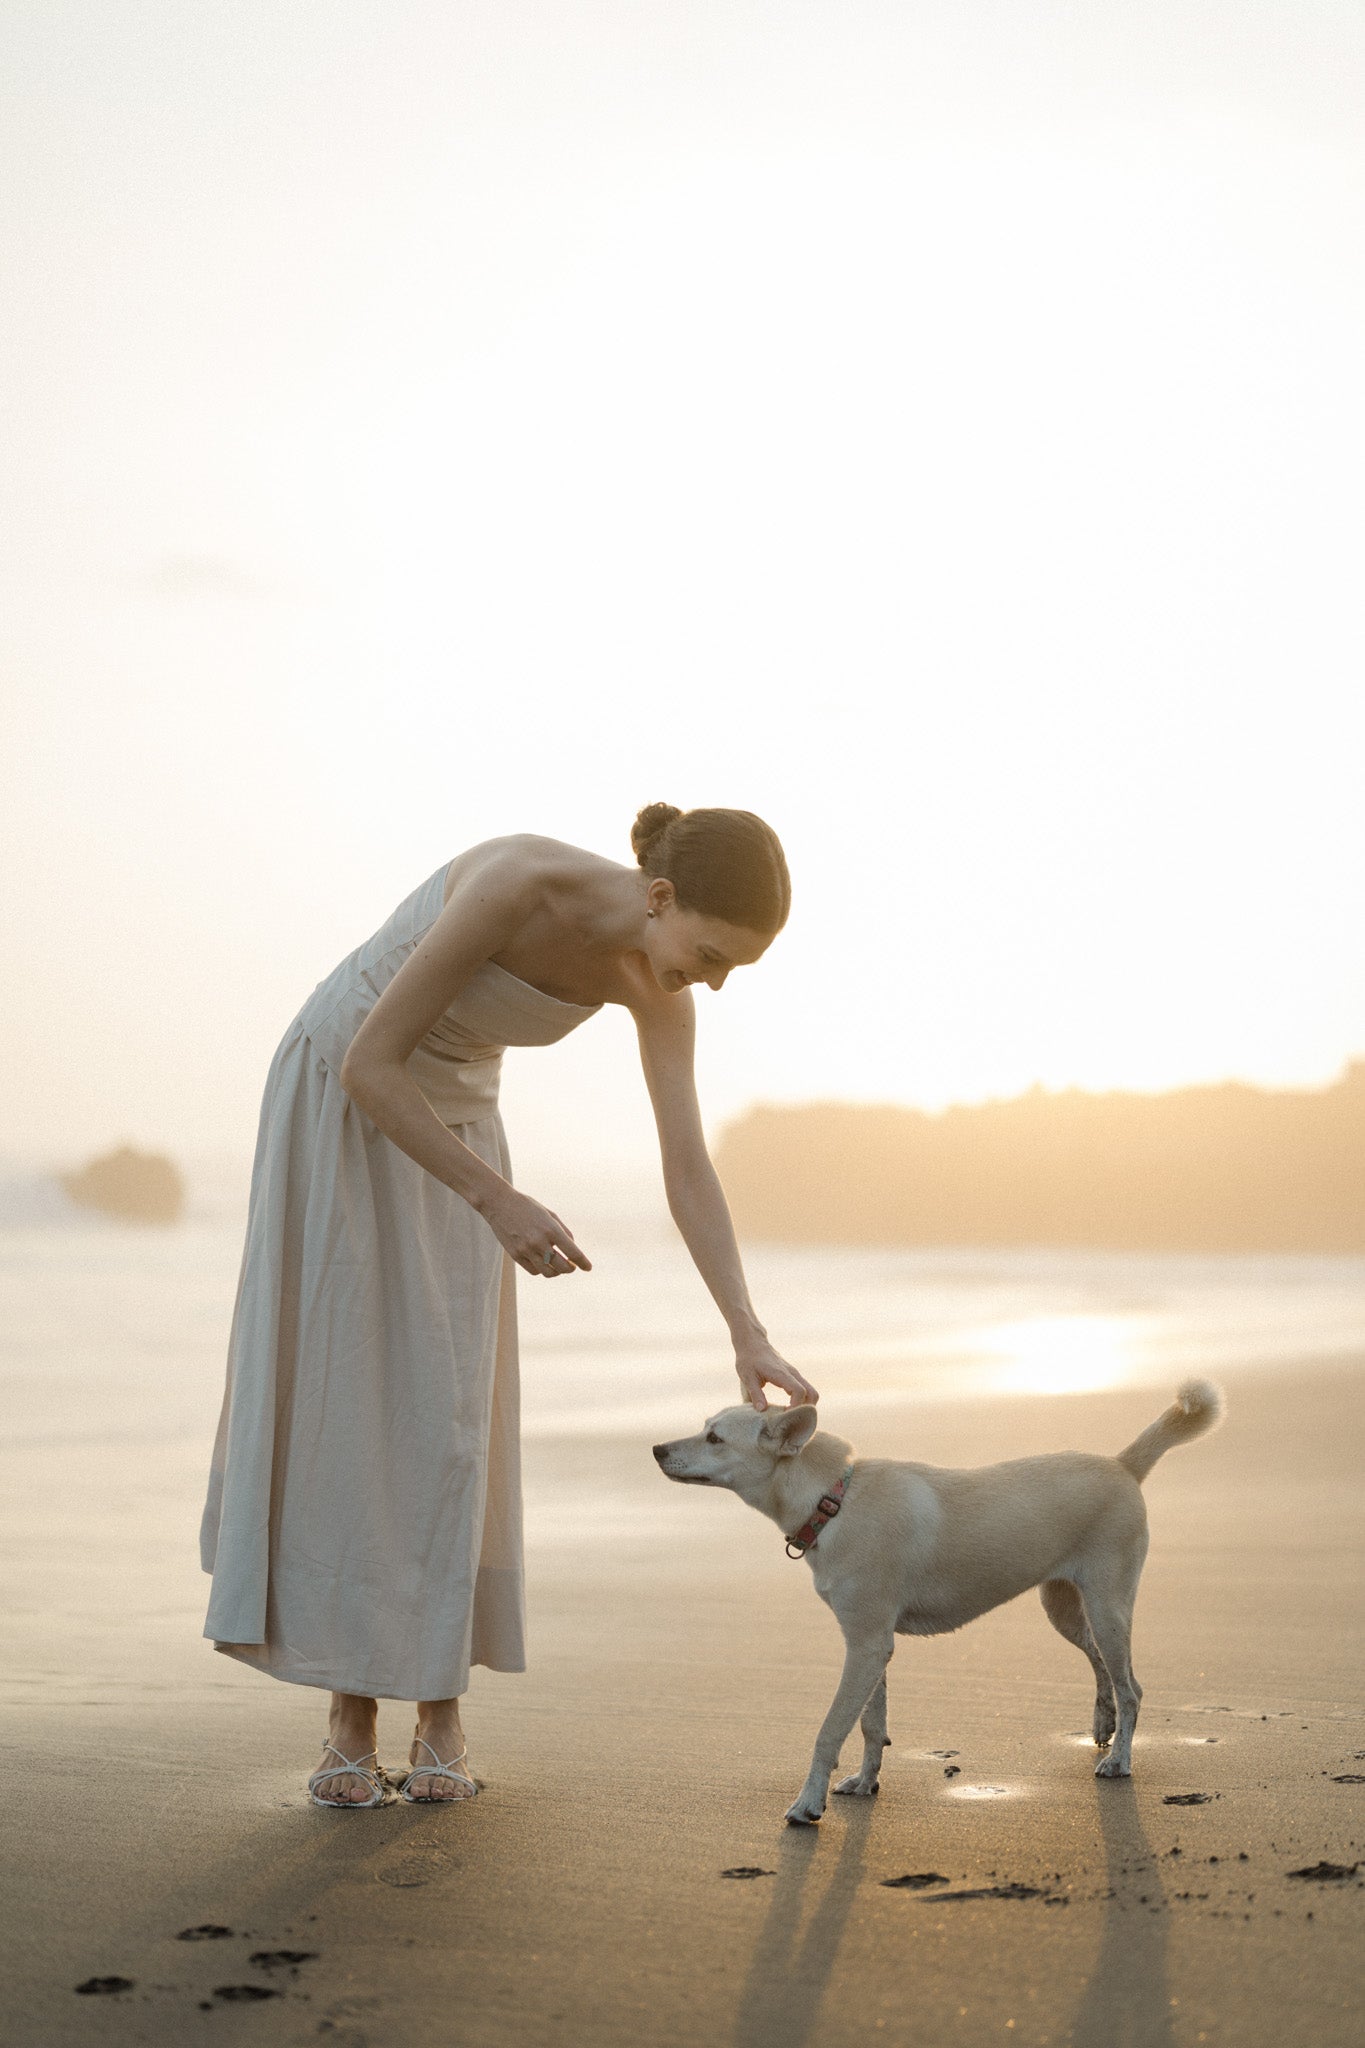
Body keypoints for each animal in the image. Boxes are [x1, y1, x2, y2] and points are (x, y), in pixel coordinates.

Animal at [654, 1384, 1227, 1835]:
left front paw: (806, 1806)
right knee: (1101, 1664)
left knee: (1132, 1687)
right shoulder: (870, 1645)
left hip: (1108, 1605)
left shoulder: (866, 1644)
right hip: (1064, 1606)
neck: (833, 1501)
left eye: (714, 1438)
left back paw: (1119, 1760)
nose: (656, 1448)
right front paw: (866, 1782)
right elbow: (870, 1725)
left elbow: (830, 1729)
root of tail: (1122, 1464)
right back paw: (1103, 1725)